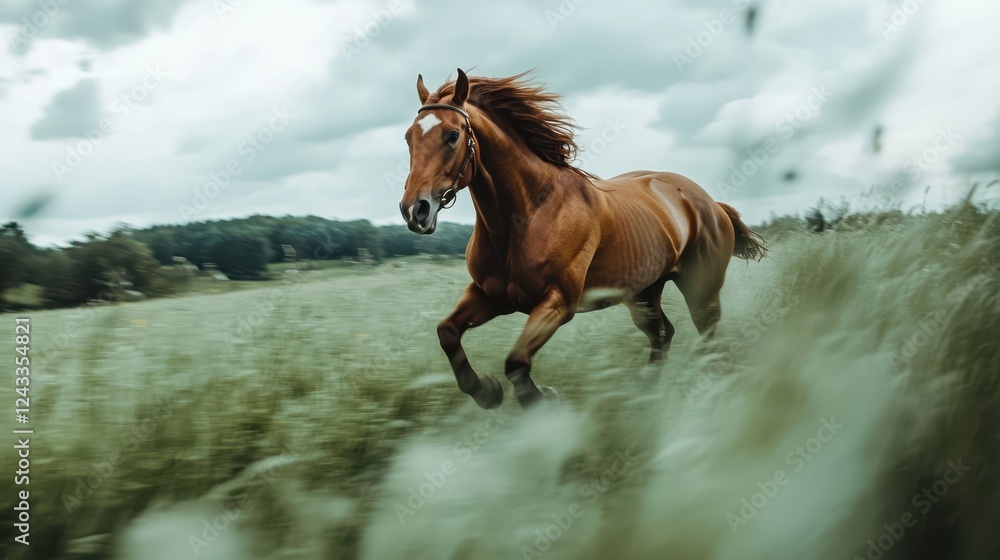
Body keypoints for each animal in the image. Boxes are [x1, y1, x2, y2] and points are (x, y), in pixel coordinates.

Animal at [399, 69, 766, 409]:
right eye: (408, 138)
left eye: (452, 135)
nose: (414, 210)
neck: (526, 215)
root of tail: (711, 203)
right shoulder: (490, 296)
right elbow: (447, 333)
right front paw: (488, 392)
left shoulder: (558, 303)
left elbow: (516, 363)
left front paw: (544, 399)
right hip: (643, 294)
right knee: (663, 335)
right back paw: (643, 397)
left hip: (700, 290)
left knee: (709, 338)